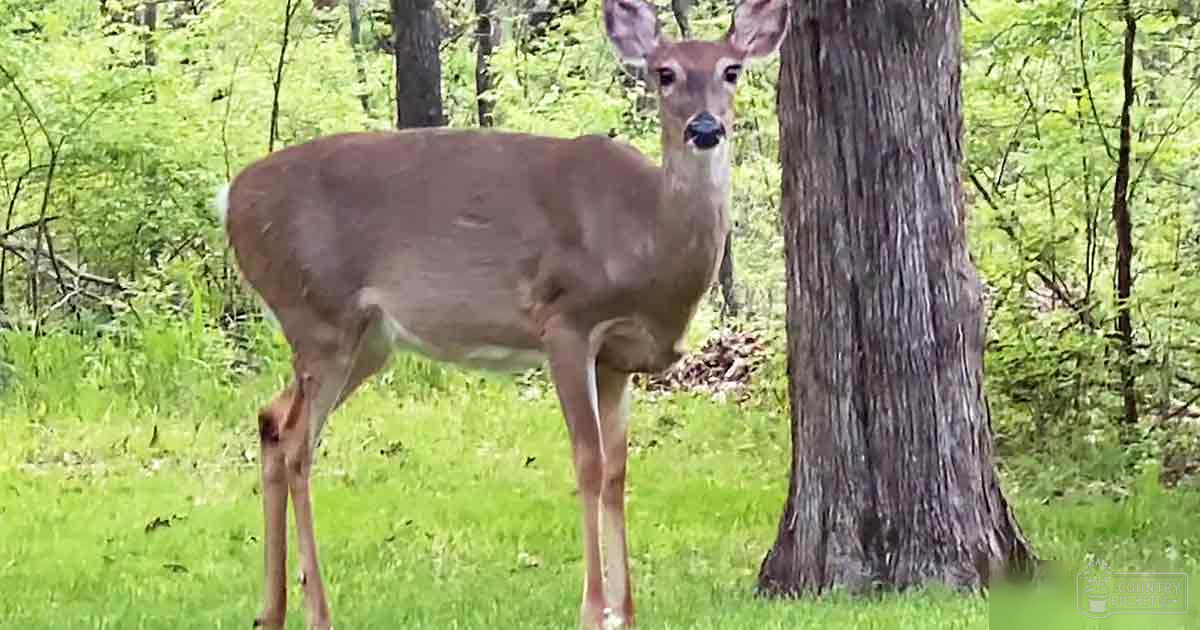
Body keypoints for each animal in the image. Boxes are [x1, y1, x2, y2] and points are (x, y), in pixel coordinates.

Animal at [217, 0, 788, 627]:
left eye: (732, 70)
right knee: (298, 443)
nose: (705, 128)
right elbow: (587, 462)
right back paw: (318, 612)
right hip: (318, 313)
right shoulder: (564, 321)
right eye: (665, 73)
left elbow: (617, 471)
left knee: (272, 421)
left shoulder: (617, 358)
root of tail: (230, 199)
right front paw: (592, 609)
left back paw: (270, 611)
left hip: (365, 338)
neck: (646, 240)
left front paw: (626, 612)